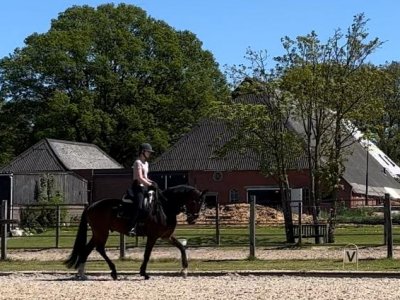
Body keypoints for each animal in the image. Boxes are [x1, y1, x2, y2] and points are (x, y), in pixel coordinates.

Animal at [64, 184, 206, 280]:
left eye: (202, 203)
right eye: (194, 201)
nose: (193, 219)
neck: (165, 207)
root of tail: (91, 206)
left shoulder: (166, 236)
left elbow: (182, 247)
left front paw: (185, 270)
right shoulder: (153, 236)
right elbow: (147, 254)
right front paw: (144, 273)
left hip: (98, 233)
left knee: (86, 250)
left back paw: (82, 274)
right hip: (102, 232)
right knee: (99, 249)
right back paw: (113, 272)